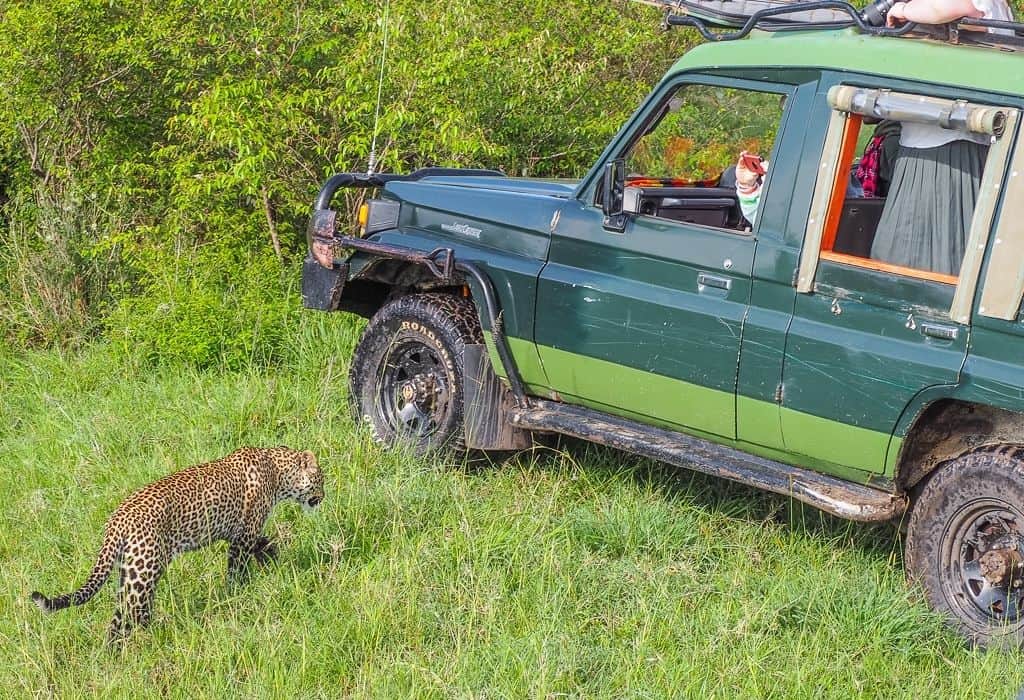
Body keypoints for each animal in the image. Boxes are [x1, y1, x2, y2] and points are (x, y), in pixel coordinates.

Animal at [29, 448, 323, 638]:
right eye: (321, 480)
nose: (323, 497)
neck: (277, 472)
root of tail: (117, 519)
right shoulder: (243, 536)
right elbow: (236, 569)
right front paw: (236, 592)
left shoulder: (241, 532)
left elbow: (264, 544)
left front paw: (274, 561)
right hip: (143, 571)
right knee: (125, 616)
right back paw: (131, 648)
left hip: (131, 571)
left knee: (126, 612)